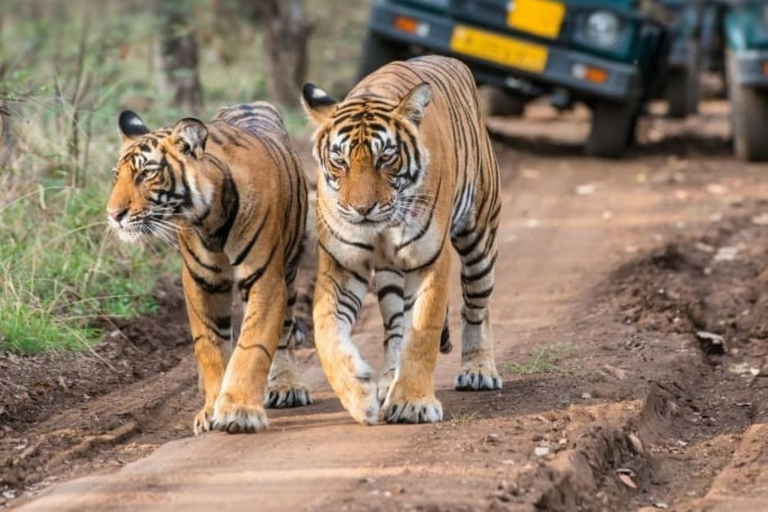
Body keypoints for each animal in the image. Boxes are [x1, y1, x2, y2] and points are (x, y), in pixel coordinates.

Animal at [106, 102, 310, 434]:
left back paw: (286, 387)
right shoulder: (201, 282)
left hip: (290, 268)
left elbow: (253, 344)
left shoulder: (265, 277)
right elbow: (211, 347)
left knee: (284, 330)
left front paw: (240, 410)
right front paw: (211, 410)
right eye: (116, 175)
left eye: (147, 173)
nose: (114, 215)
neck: (208, 219)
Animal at [301, 55, 502, 425]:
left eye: (385, 158)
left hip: (479, 238)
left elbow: (422, 331)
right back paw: (387, 380)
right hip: (391, 274)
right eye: (340, 160)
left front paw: (413, 403)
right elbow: (326, 332)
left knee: (476, 306)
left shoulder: (431, 259)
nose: (362, 209)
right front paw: (358, 393)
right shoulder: (342, 264)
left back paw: (478, 370)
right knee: (395, 325)